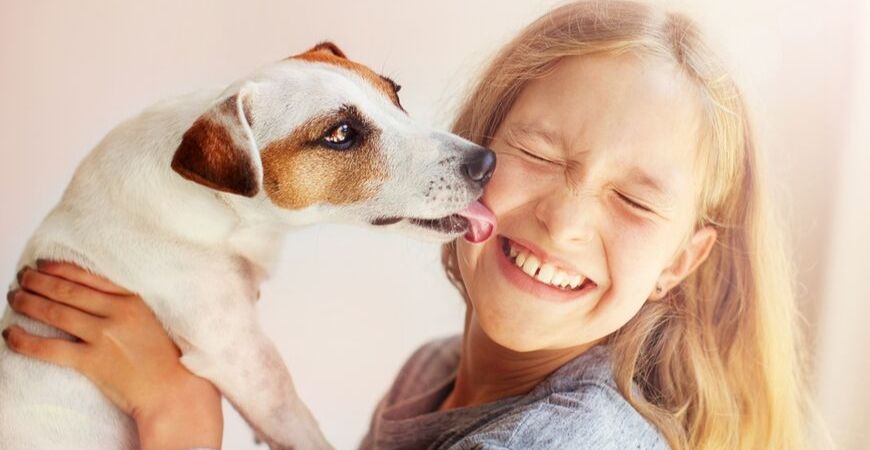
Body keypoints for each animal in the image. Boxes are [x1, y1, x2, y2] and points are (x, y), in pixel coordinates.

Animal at [0, 42, 498, 450]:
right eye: (340, 133)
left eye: (395, 95)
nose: (486, 162)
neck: (220, 208)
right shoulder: (247, 363)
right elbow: (301, 426)